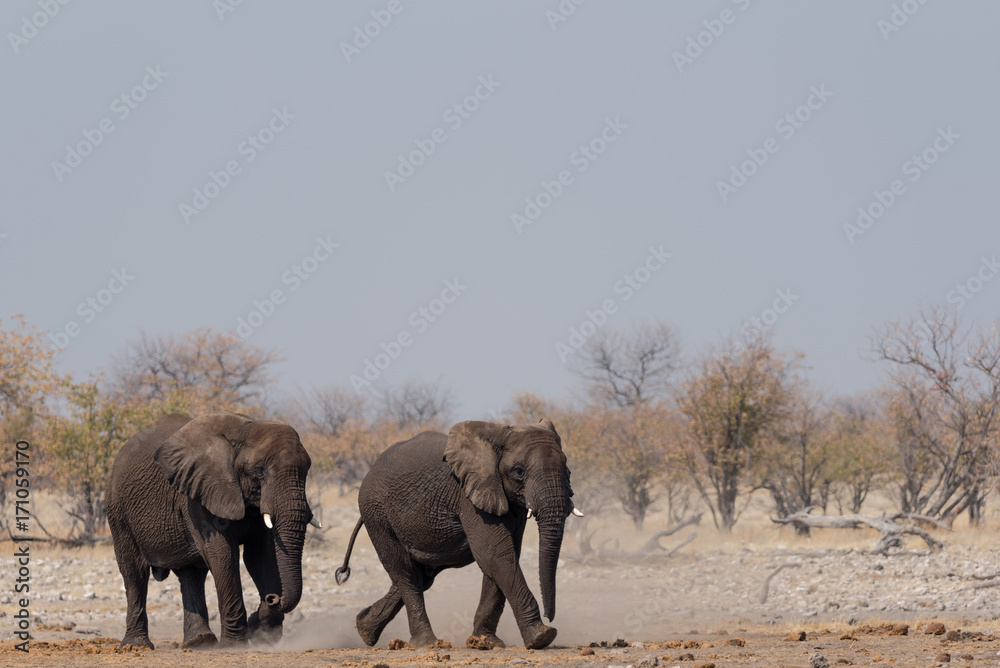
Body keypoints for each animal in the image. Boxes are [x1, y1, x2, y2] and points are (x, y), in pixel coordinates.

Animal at [106, 411, 320, 649]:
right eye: (259, 470)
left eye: (307, 470)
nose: (273, 597)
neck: (245, 428)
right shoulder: (199, 495)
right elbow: (223, 555)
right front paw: (234, 645)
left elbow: (260, 557)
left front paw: (263, 634)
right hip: (118, 511)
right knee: (134, 573)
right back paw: (137, 646)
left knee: (191, 574)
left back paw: (199, 642)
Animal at [335, 418, 582, 650]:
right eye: (519, 472)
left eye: (568, 470)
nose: (550, 617)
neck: (497, 434)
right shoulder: (469, 496)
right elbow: (495, 555)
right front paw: (542, 637)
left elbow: (501, 557)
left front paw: (485, 642)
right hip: (377, 512)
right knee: (405, 573)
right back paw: (426, 643)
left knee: (421, 575)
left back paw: (364, 629)